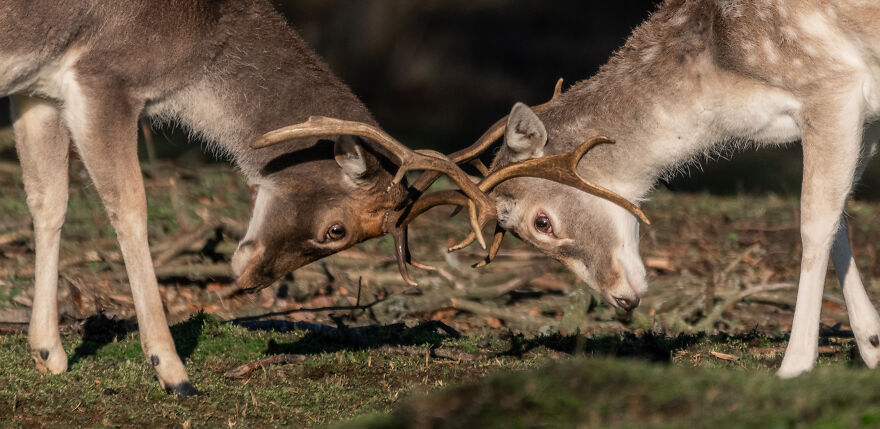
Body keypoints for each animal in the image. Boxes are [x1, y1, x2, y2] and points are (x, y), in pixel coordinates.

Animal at [0, 0, 496, 394]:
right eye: (336, 230)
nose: (250, 282)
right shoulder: (103, 78)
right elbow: (130, 207)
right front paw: (172, 371)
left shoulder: (38, 89)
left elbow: (48, 200)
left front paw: (48, 353)